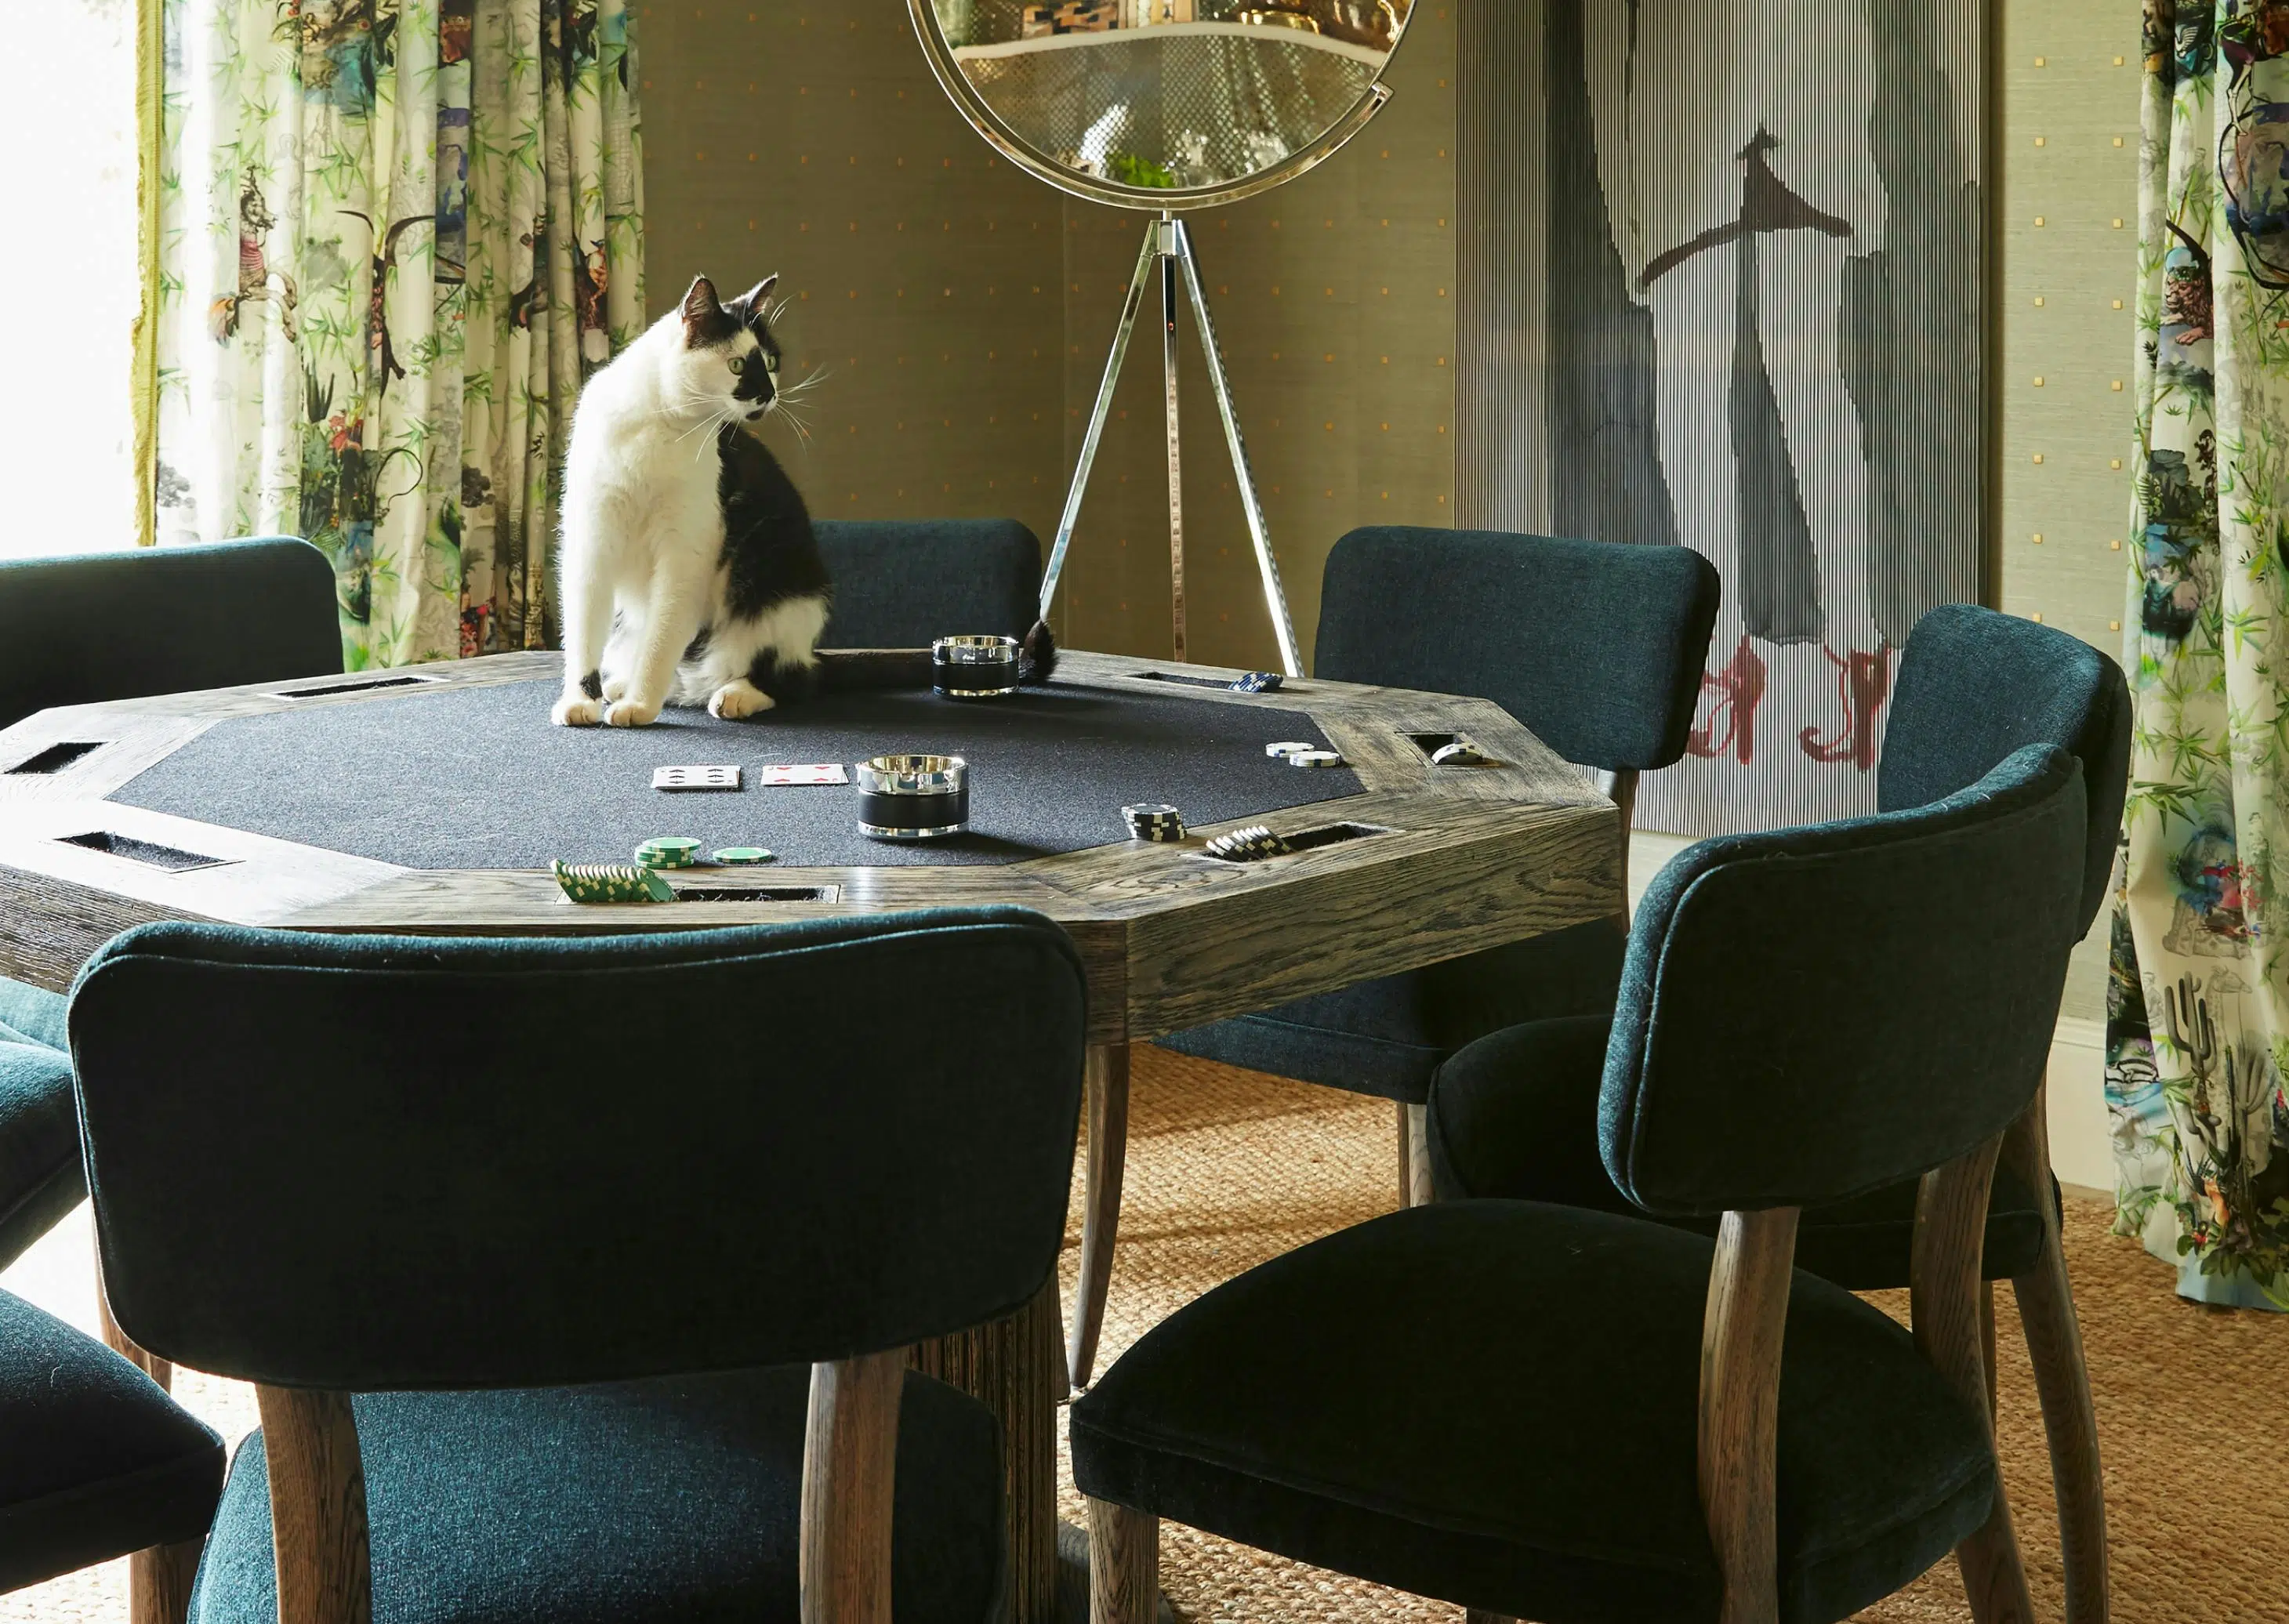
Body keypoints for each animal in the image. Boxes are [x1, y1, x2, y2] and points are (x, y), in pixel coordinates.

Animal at [549, 275, 829, 731]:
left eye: (771, 361)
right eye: (737, 365)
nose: (769, 394)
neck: (657, 423)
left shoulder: (685, 550)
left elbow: (662, 637)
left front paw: (641, 705)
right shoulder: (591, 535)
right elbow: (583, 628)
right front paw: (581, 700)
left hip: (783, 593)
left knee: (792, 675)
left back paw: (734, 694)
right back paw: (618, 685)